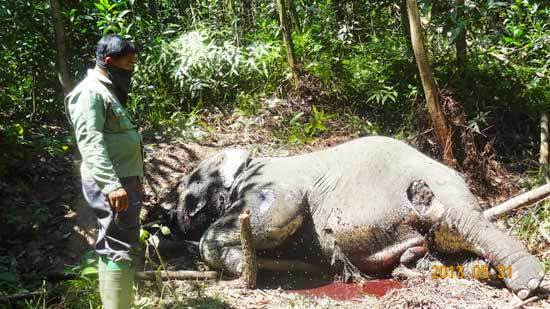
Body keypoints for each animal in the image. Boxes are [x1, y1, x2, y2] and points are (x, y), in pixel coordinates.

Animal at [175, 136, 544, 298]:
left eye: (185, 186)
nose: (170, 213)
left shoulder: (271, 183)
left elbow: (273, 216)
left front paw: (242, 265)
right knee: (433, 251)